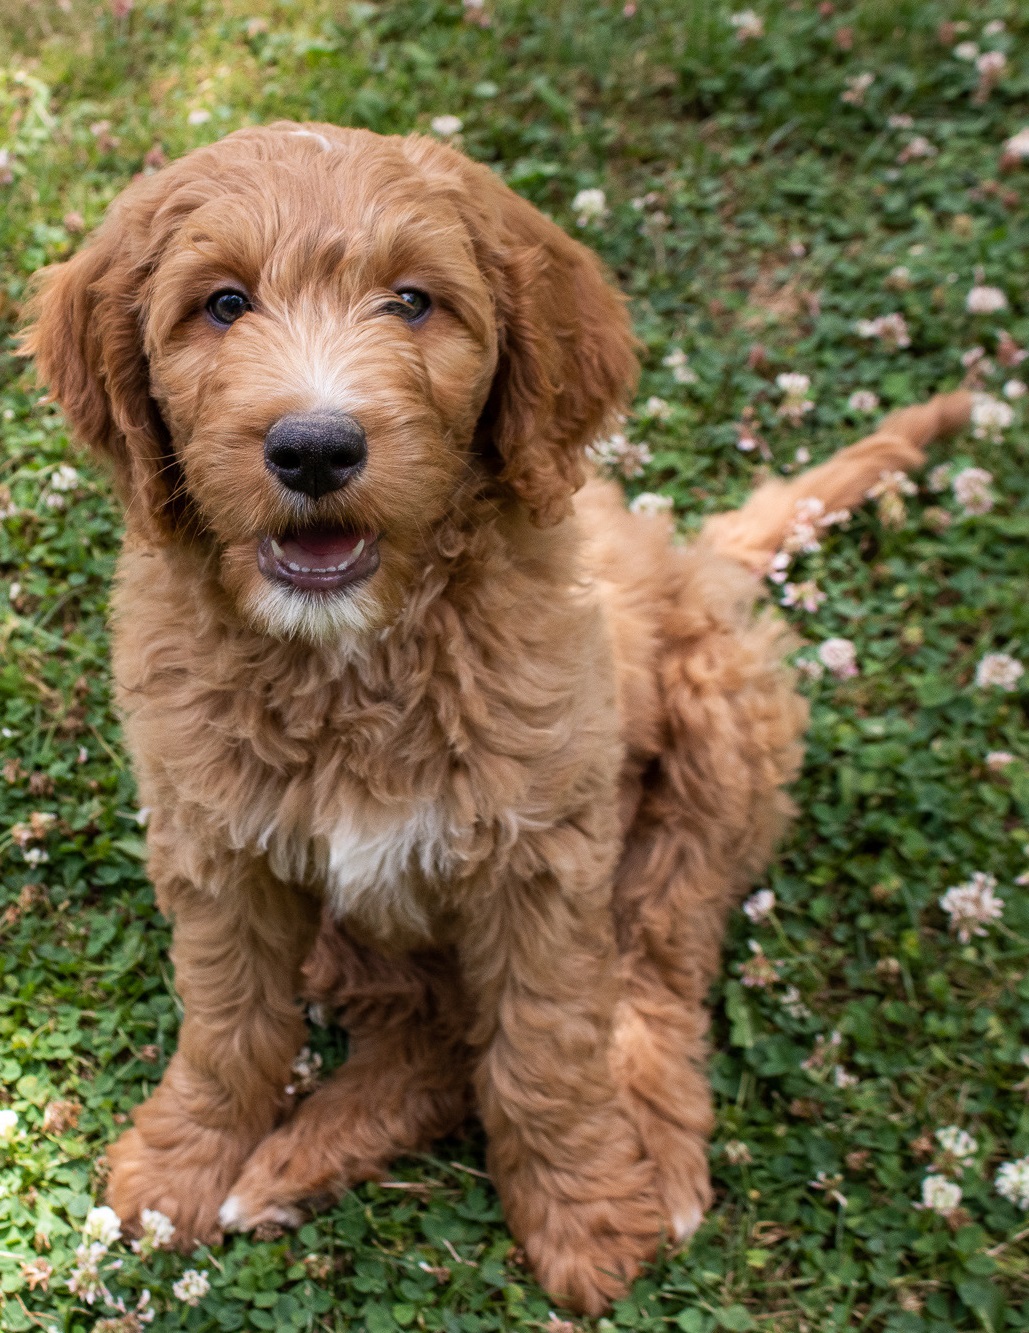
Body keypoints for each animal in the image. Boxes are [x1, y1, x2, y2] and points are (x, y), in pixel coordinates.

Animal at [22, 125, 970, 1311]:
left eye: (414, 302)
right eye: (223, 304)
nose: (316, 448)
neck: (356, 655)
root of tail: (699, 557)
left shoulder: (543, 858)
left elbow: (544, 1051)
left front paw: (583, 1211)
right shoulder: (218, 844)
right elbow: (230, 1024)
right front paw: (185, 1163)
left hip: (713, 753)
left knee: (652, 972)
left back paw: (655, 1159)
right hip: (351, 931)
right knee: (433, 1037)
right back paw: (287, 1166)